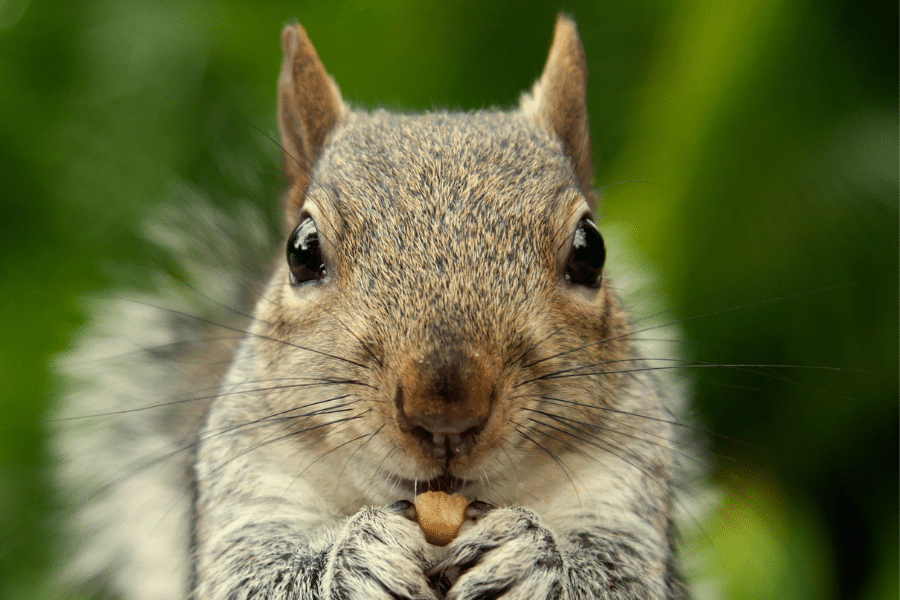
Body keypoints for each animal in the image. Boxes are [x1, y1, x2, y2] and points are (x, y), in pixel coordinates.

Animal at [54, 16, 692, 600]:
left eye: (591, 250)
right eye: (301, 250)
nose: (445, 409)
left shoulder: (627, 481)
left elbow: (621, 578)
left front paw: (531, 555)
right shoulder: (251, 483)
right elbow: (254, 579)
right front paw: (358, 557)